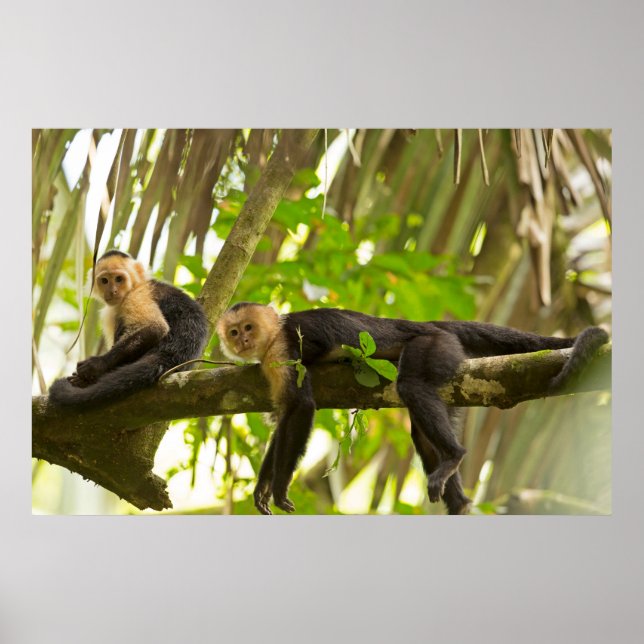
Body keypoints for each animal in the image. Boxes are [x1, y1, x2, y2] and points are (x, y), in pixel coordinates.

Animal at [48, 250, 209, 407]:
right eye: (104, 281)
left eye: (119, 279)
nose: (112, 291)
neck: (136, 286)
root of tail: (173, 354)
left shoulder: (137, 296)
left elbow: (155, 328)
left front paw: (97, 365)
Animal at [217, 302, 609, 516]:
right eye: (234, 332)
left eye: (249, 327)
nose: (244, 340)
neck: (272, 338)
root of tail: (429, 324)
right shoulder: (268, 364)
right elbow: (284, 416)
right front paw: (263, 486)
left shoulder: (284, 347)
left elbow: (300, 407)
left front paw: (280, 487)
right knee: (421, 430)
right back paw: (459, 502)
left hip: (435, 345)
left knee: (412, 387)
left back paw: (453, 456)